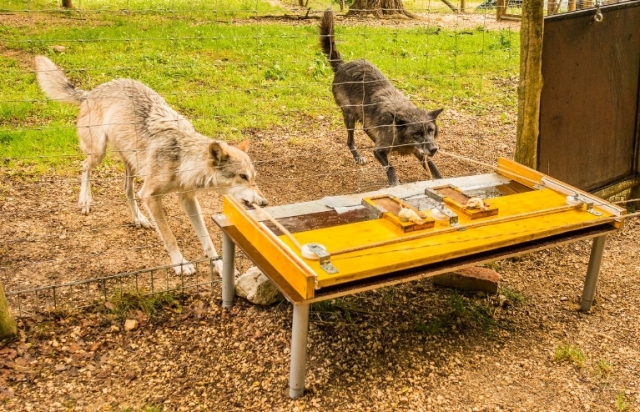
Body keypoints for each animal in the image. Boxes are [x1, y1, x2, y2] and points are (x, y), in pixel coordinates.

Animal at [34, 54, 268, 274]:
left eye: (254, 178)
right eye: (243, 177)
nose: (264, 202)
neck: (182, 159)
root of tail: (92, 92)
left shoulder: (187, 199)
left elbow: (207, 238)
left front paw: (220, 266)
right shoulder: (150, 196)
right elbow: (169, 236)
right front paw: (181, 264)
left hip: (133, 166)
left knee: (127, 190)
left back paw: (139, 218)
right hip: (99, 153)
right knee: (84, 166)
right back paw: (85, 201)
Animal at [320, 8, 444, 186]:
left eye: (431, 131)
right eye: (417, 134)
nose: (434, 149)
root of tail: (343, 65)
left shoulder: (420, 152)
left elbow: (433, 167)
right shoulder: (378, 151)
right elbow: (390, 167)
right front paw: (394, 183)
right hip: (349, 116)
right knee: (350, 141)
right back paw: (357, 157)